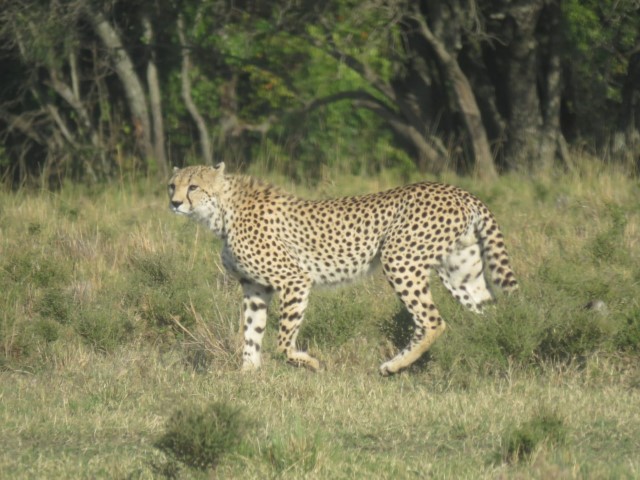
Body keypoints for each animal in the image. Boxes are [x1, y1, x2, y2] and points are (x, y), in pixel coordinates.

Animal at [167, 163, 518, 376]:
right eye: (172, 185)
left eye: (194, 186)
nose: (174, 203)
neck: (223, 211)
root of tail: (458, 190)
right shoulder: (255, 287)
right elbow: (251, 333)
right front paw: (248, 375)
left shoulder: (294, 279)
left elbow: (282, 339)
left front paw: (308, 362)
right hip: (461, 273)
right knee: (490, 314)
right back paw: (492, 351)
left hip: (398, 258)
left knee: (432, 321)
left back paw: (394, 366)